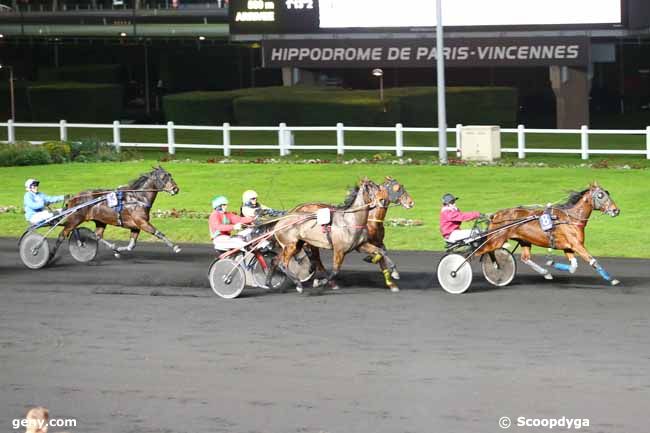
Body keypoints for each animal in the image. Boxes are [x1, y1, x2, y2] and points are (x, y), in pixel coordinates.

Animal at [51, 165, 180, 256]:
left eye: (170, 175)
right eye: (163, 177)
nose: (176, 189)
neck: (137, 198)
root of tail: (73, 198)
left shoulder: (135, 226)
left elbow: (131, 245)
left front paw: (118, 249)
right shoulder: (142, 223)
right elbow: (158, 233)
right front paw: (175, 247)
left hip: (100, 221)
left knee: (97, 235)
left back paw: (114, 249)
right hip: (75, 220)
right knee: (62, 235)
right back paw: (50, 254)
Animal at [474, 181, 620, 286]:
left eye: (607, 193)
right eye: (600, 195)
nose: (616, 210)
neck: (571, 218)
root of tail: (495, 215)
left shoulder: (568, 247)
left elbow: (573, 266)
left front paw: (552, 264)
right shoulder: (577, 245)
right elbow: (592, 260)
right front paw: (611, 279)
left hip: (523, 240)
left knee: (524, 258)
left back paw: (545, 273)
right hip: (496, 240)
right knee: (479, 252)